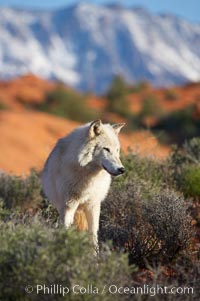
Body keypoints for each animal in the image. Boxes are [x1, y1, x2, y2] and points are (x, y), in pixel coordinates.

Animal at [42, 119, 125, 248]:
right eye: (106, 149)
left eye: (117, 150)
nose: (121, 169)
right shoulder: (69, 204)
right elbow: (66, 229)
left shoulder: (93, 204)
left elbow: (93, 233)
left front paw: (95, 252)